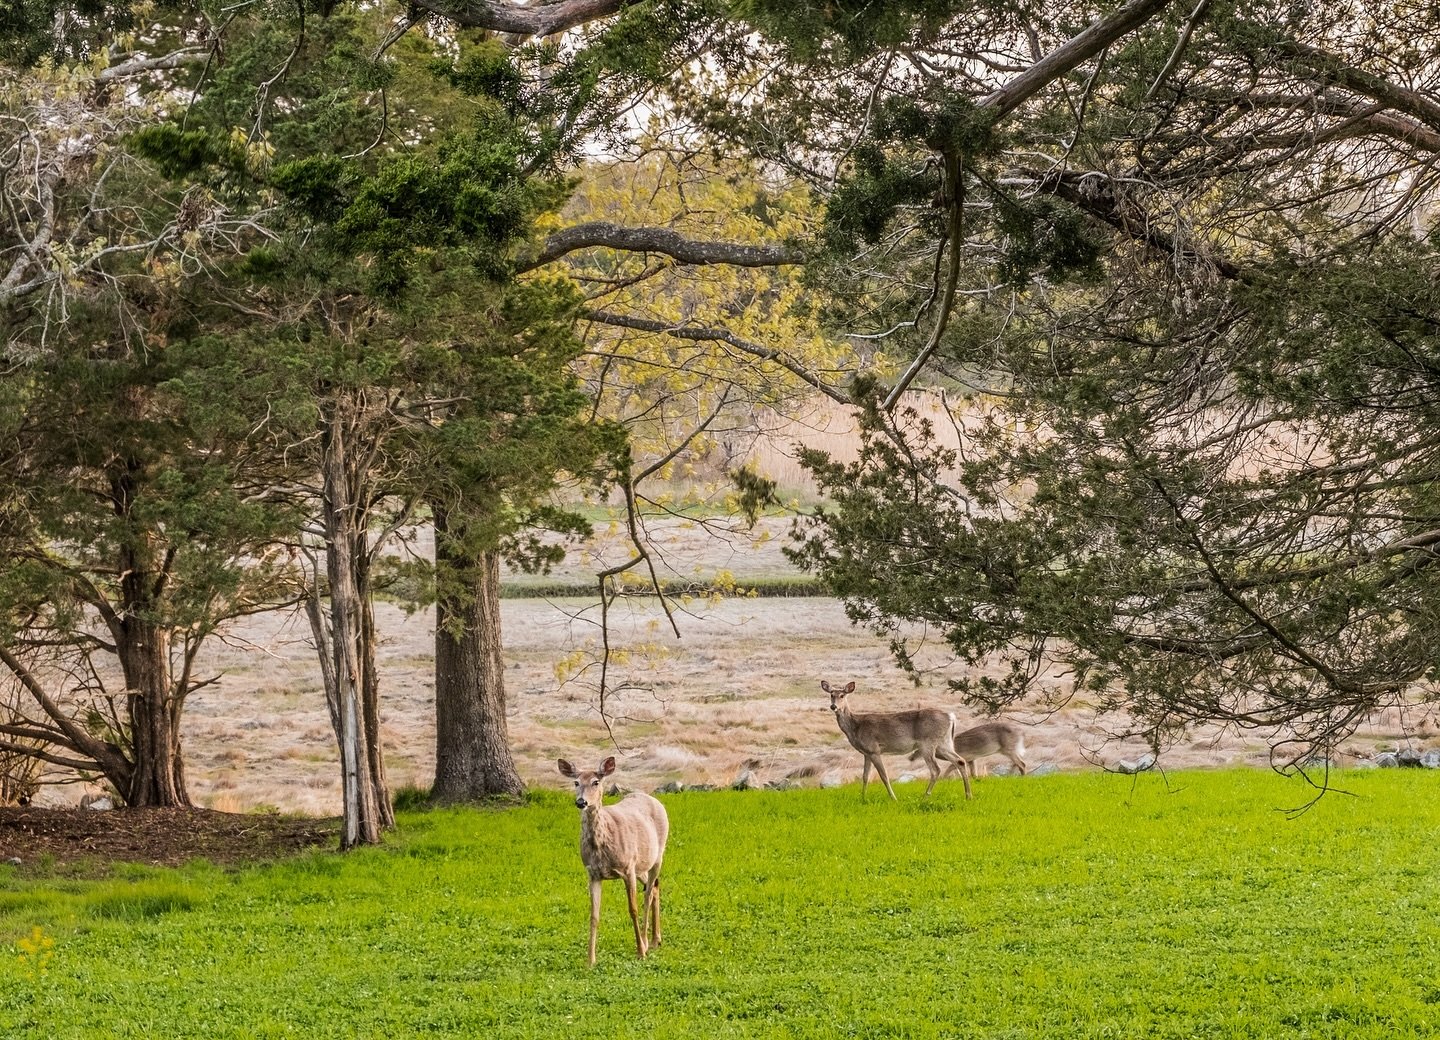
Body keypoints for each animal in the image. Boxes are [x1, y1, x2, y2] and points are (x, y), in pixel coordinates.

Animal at [555, 754, 668, 962]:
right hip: (642, 865)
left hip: (658, 855)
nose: (581, 802)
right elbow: (594, 915)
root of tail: (652, 798)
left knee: (648, 894)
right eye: (576, 782)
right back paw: (656, 940)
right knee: (655, 886)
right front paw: (590, 960)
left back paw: (646, 943)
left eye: (596, 782)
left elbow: (633, 909)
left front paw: (640, 951)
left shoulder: (628, 868)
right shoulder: (593, 874)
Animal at [823, 677, 967, 800]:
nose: (833, 706)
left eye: (842, 695)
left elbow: (884, 776)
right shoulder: (866, 753)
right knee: (960, 761)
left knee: (936, 769)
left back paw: (925, 797)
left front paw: (893, 798)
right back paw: (968, 796)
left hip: (928, 743)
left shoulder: (874, 749)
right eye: (831, 694)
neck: (855, 727)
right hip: (944, 743)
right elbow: (865, 776)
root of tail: (951, 716)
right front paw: (863, 798)